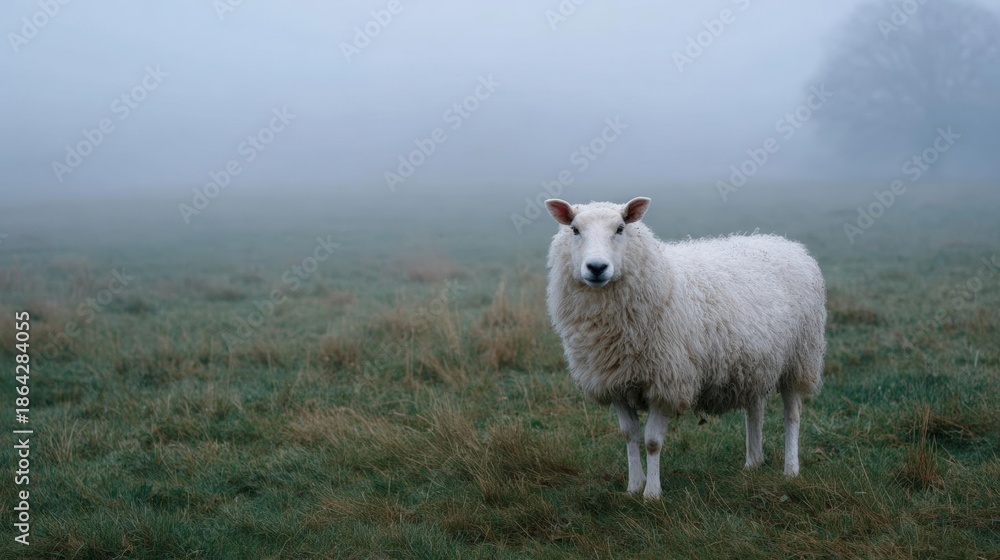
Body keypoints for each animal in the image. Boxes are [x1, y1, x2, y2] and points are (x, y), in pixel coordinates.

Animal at [544, 197, 826, 499]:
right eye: (574, 229)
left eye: (620, 228)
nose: (596, 267)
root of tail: (785, 243)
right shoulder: (615, 381)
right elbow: (629, 435)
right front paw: (633, 487)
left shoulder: (666, 381)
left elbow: (652, 441)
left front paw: (652, 493)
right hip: (754, 361)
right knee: (755, 410)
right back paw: (753, 461)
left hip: (800, 358)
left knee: (792, 415)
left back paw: (790, 469)